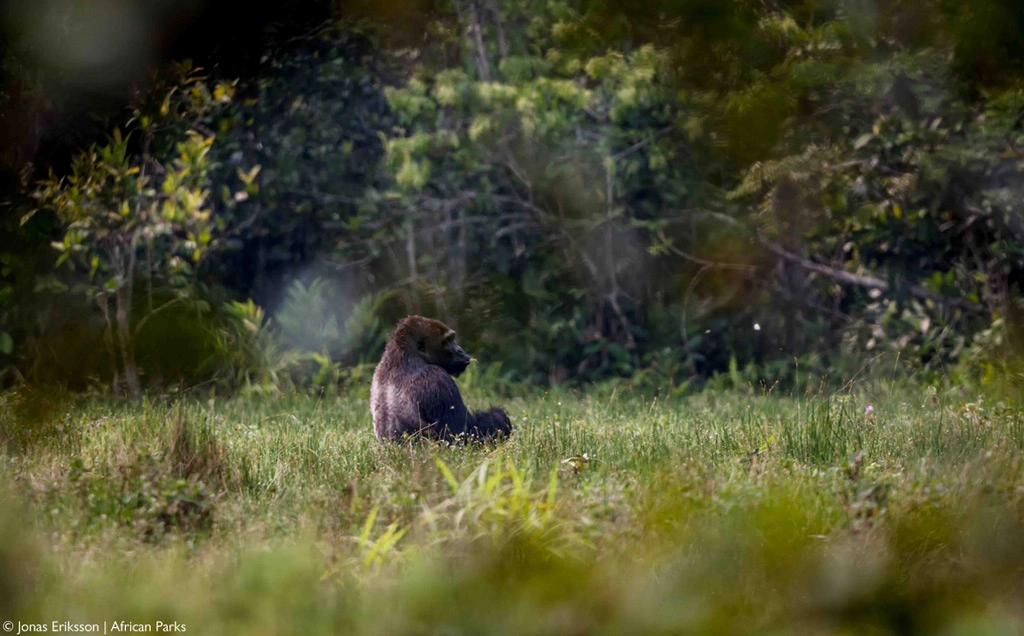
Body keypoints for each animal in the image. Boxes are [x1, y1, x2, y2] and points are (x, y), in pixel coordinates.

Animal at [370, 315, 512, 442]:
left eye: (452, 339)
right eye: (447, 341)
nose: (460, 350)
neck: (403, 356)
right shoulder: (437, 377)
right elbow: (463, 435)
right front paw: (499, 416)